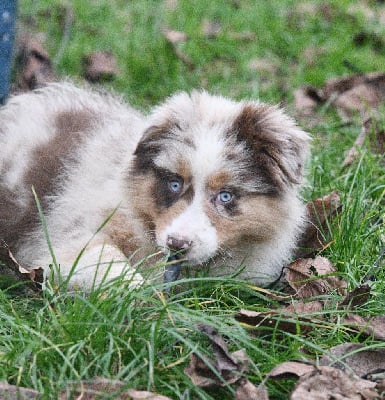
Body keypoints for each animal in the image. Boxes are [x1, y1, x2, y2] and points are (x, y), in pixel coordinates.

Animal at [0, 83, 308, 288]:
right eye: (174, 183)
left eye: (225, 196)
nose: (177, 244)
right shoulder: (74, 232)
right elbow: (106, 261)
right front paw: (142, 295)